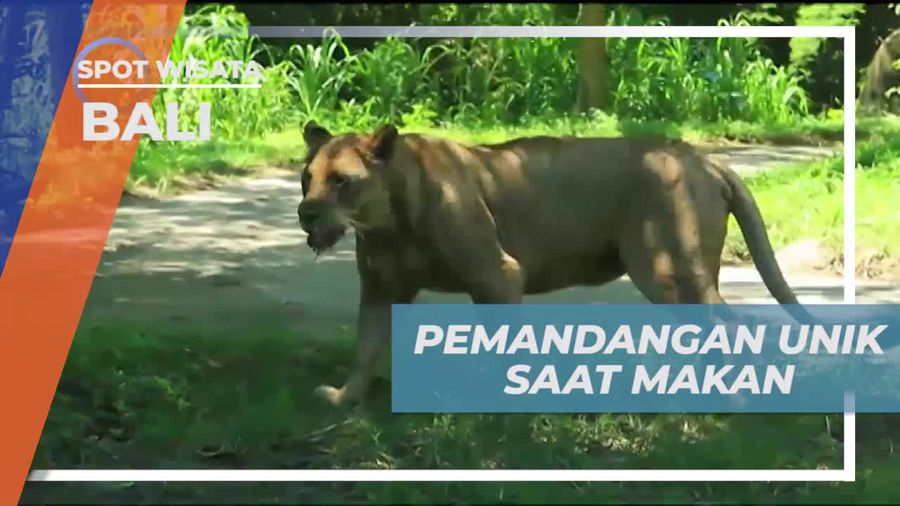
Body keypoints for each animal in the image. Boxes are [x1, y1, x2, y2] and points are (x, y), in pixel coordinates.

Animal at [297, 121, 801, 406]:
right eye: (307, 178)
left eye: (341, 181)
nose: (304, 212)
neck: (387, 223)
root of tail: (704, 159)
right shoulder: (381, 289)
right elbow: (366, 347)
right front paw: (344, 399)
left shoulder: (498, 276)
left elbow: (501, 348)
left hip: (669, 267)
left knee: (731, 325)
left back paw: (734, 401)